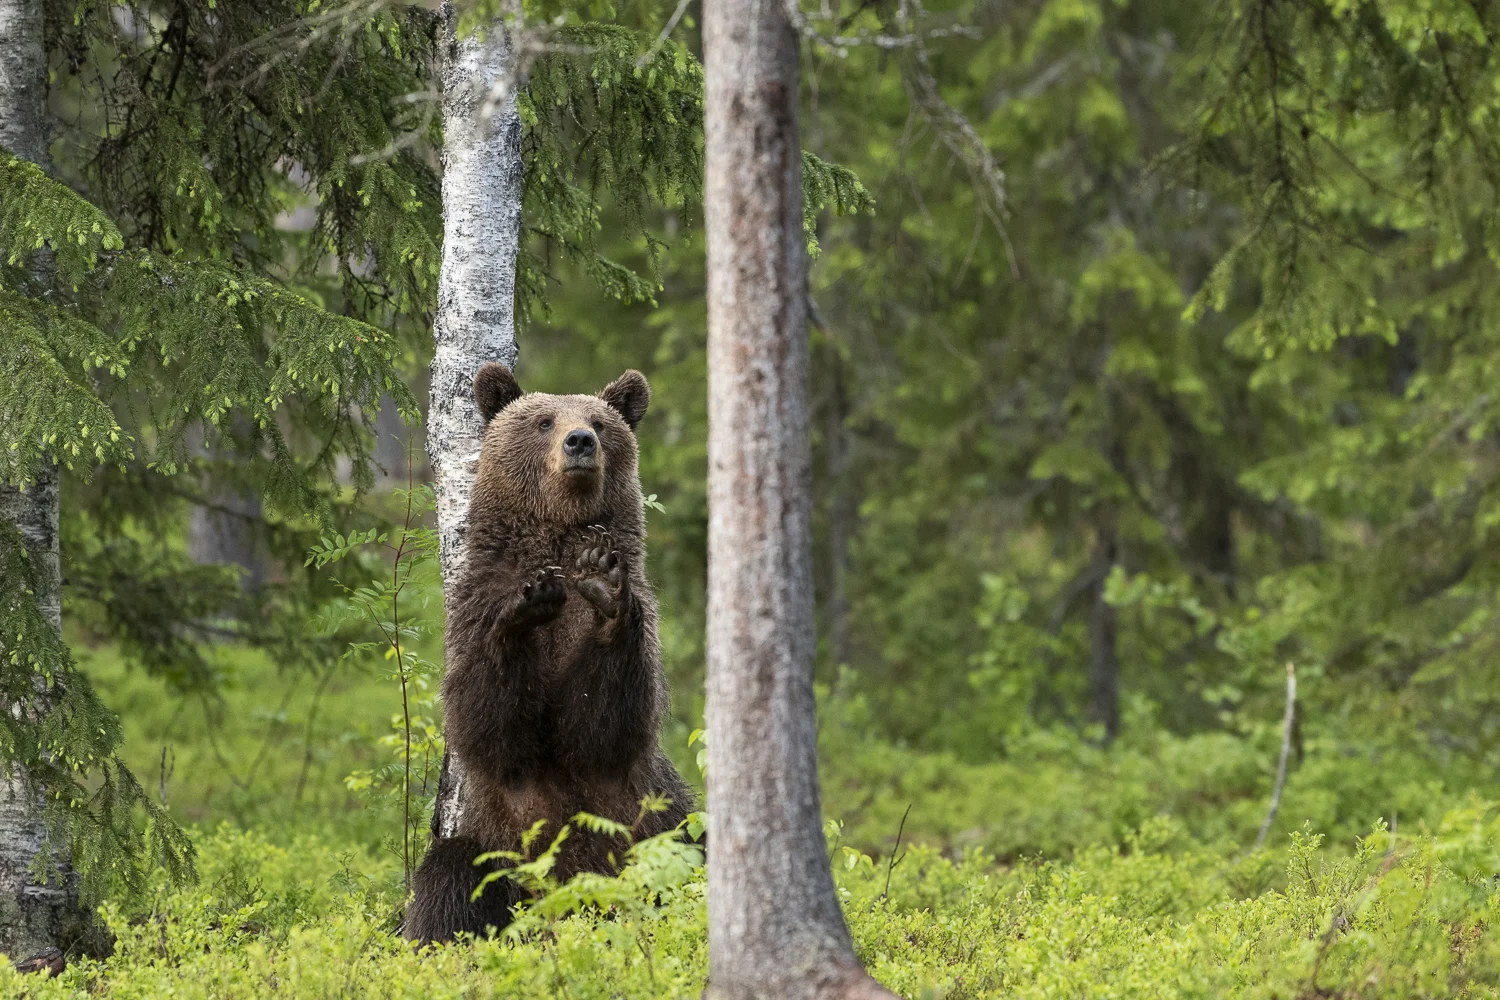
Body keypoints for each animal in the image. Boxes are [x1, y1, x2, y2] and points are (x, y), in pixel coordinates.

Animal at [402, 362, 696, 945]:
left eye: (600, 422)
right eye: (543, 421)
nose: (579, 440)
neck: (558, 536)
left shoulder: (643, 623)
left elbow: (606, 723)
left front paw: (603, 584)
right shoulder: (474, 607)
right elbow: (490, 724)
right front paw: (527, 606)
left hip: (662, 828)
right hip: (498, 850)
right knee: (454, 877)